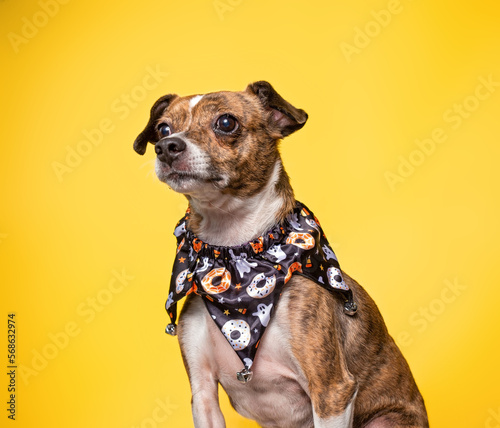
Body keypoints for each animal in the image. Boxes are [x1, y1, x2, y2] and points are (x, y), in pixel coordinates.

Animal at [134, 81, 430, 428]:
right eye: (163, 128)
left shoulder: (331, 390)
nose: (166, 146)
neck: (233, 254)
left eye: (226, 122)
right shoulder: (203, 396)